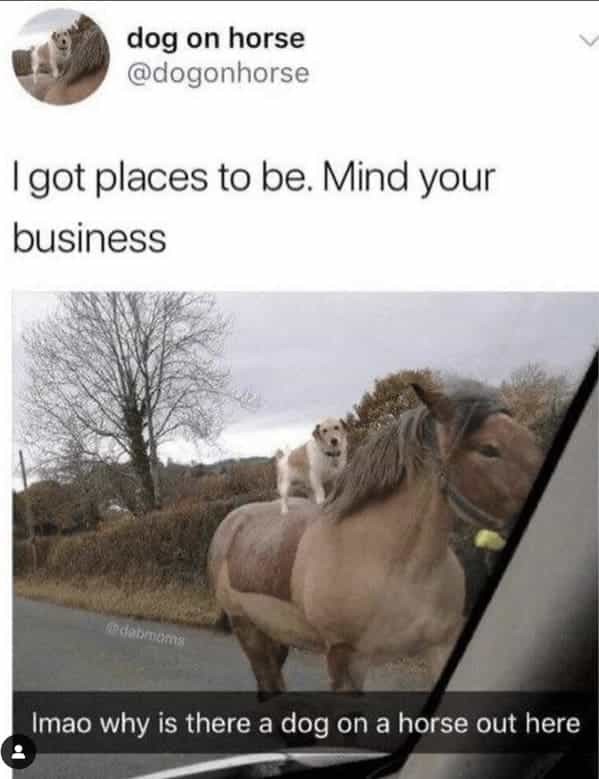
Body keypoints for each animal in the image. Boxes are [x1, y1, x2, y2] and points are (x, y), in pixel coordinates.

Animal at [208, 382, 542, 694]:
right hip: (247, 630)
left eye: (528, 438)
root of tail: (231, 522)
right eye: (488, 449)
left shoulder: (440, 646)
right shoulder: (345, 659)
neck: (389, 560)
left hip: (274, 634)